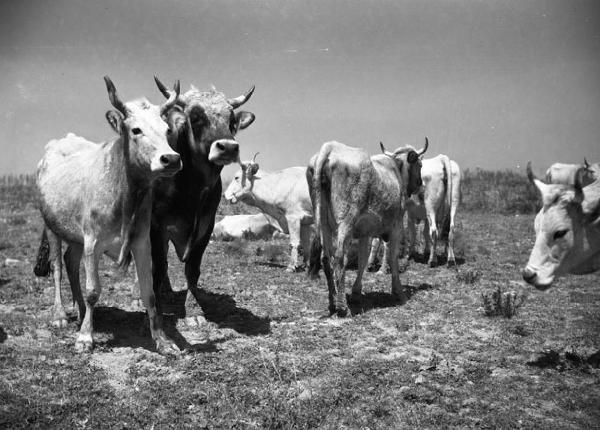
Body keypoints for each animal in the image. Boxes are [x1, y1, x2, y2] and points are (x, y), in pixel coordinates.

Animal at [308, 139, 428, 316]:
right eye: (420, 164)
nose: (420, 184)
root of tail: (330, 147)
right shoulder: (396, 227)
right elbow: (393, 258)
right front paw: (398, 292)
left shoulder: (365, 232)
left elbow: (363, 259)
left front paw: (356, 292)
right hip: (346, 221)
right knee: (339, 258)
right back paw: (342, 307)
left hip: (323, 223)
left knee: (326, 258)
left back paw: (332, 302)